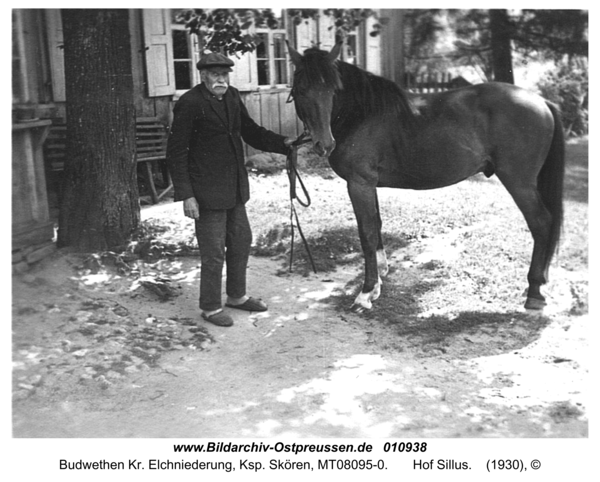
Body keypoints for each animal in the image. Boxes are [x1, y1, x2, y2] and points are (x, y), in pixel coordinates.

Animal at [286, 43, 564, 314]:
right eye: (301, 89)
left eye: (333, 89)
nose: (324, 144)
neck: (362, 114)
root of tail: (541, 102)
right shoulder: (368, 184)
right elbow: (376, 226)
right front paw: (379, 280)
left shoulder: (359, 183)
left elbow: (366, 234)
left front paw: (365, 295)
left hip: (519, 183)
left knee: (541, 223)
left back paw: (534, 292)